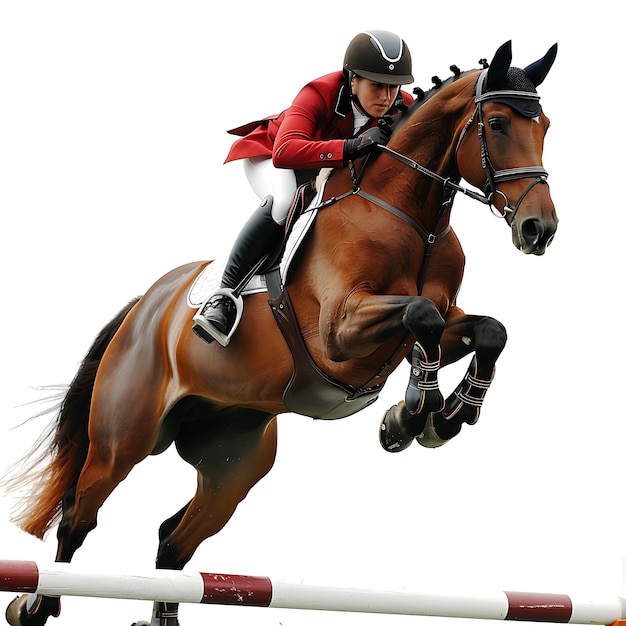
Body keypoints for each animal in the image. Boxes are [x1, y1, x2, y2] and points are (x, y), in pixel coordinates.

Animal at [4, 40, 556, 624]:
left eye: (545, 124)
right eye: (497, 123)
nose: (539, 229)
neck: (411, 217)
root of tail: (144, 309)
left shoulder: (435, 324)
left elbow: (487, 331)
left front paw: (436, 417)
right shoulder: (339, 333)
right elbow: (420, 314)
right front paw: (415, 412)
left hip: (234, 460)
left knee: (174, 541)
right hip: (122, 439)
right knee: (78, 517)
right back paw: (35, 606)